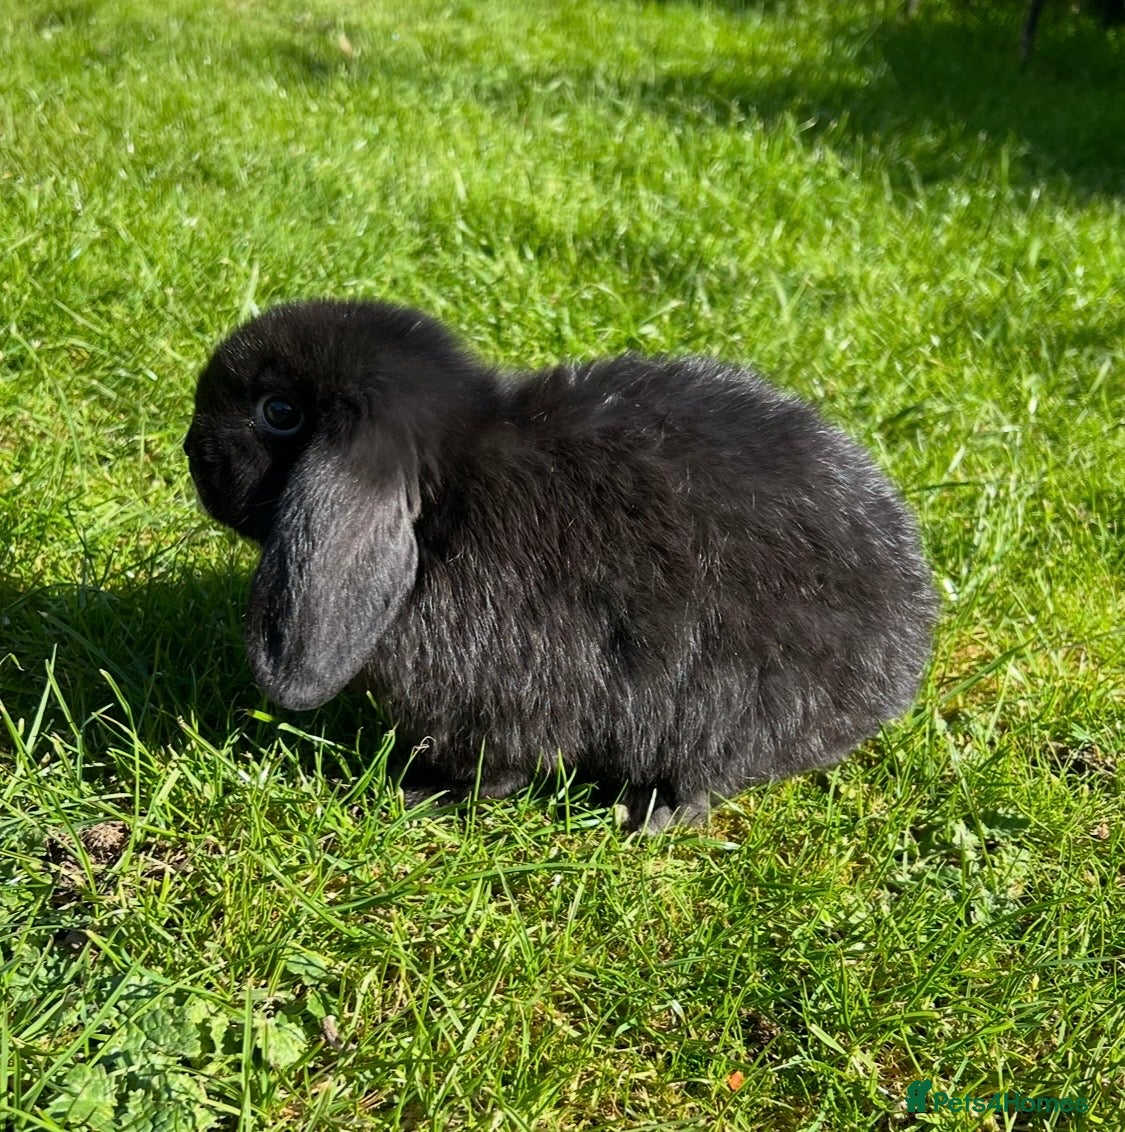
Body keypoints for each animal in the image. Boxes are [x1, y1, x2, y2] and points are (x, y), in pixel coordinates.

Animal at [184, 299, 938, 832]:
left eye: (279, 412)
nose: (191, 450)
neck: (447, 500)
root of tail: (907, 648)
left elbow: (500, 765)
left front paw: (421, 793)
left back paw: (651, 813)